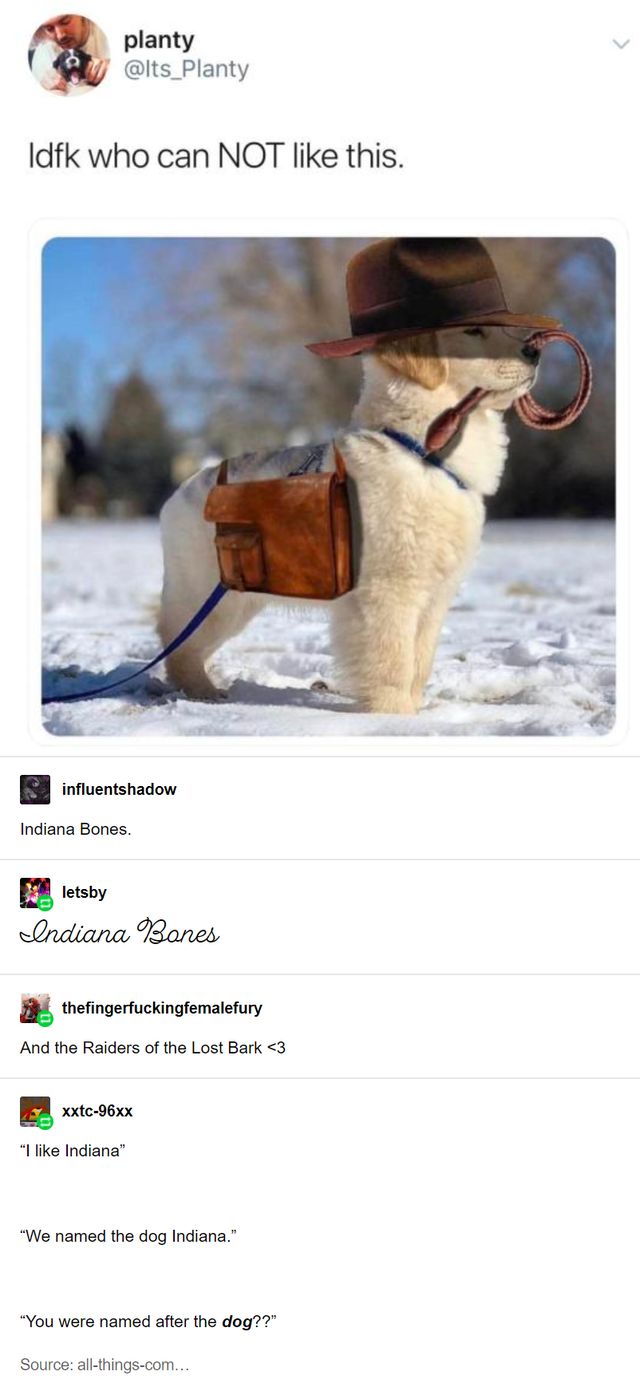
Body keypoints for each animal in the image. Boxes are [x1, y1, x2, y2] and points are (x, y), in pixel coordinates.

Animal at [156, 327, 535, 715]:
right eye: (473, 331)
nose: (534, 350)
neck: (421, 455)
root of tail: (183, 488)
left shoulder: (435, 595)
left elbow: (420, 661)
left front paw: (416, 709)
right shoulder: (387, 591)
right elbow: (393, 661)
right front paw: (395, 716)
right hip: (209, 595)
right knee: (178, 644)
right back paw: (202, 691)